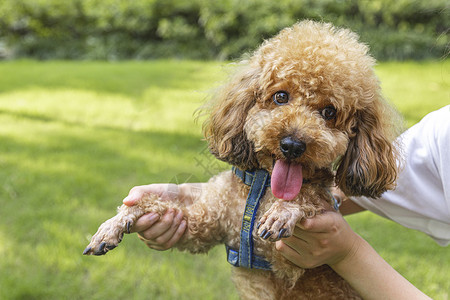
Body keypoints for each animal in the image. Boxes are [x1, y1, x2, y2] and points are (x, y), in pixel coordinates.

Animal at [82, 19, 400, 298]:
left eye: (329, 112)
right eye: (281, 96)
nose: (292, 145)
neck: (261, 187)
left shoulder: (290, 265)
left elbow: (307, 198)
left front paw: (284, 210)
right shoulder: (204, 224)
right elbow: (156, 204)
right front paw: (114, 224)